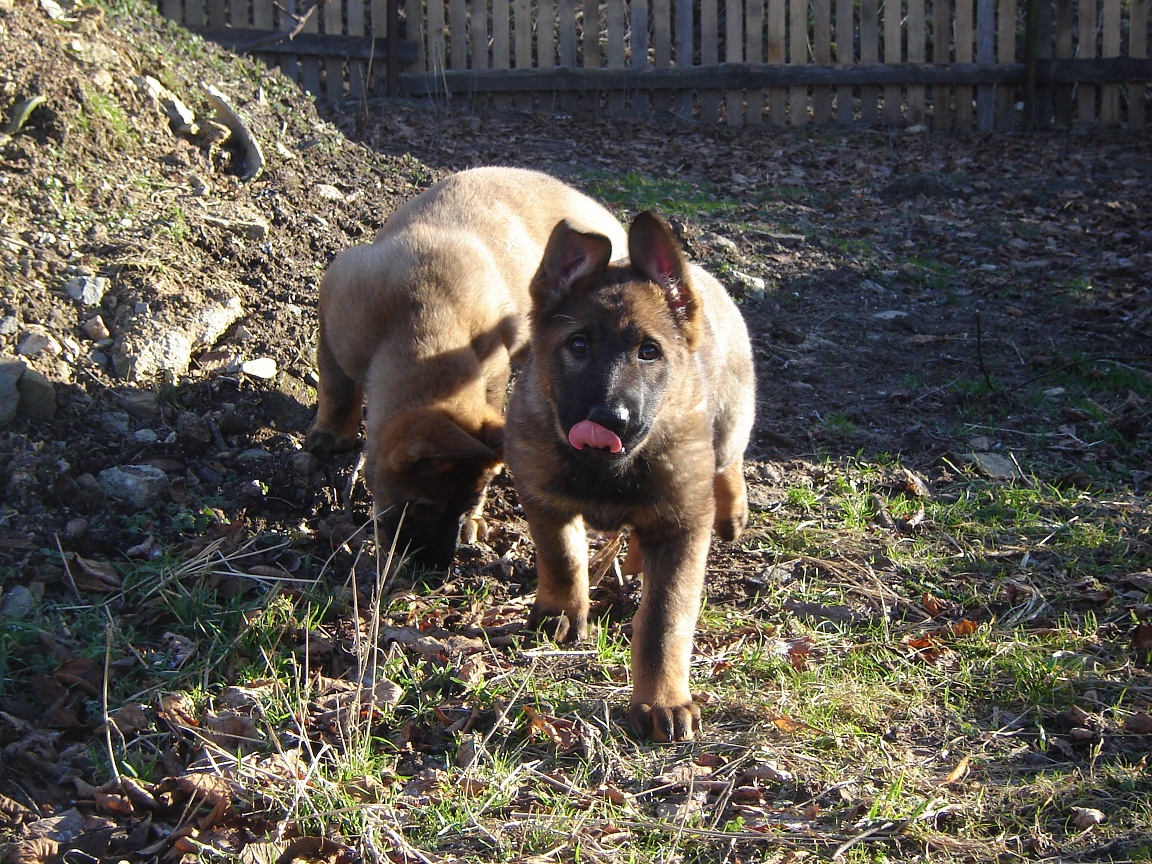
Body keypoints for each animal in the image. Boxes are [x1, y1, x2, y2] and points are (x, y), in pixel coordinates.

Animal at [306, 167, 627, 571]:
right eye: (423, 506)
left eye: (466, 504)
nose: (436, 568)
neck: (420, 322)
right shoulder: (332, 322)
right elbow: (337, 389)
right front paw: (331, 435)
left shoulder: (492, 368)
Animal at [505, 211, 756, 742]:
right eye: (578, 345)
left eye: (649, 352)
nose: (609, 419)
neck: (605, 471)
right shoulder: (542, 495)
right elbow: (562, 559)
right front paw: (561, 614)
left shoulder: (683, 525)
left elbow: (664, 622)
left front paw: (662, 702)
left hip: (727, 426)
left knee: (729, 460)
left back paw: (733, 512)